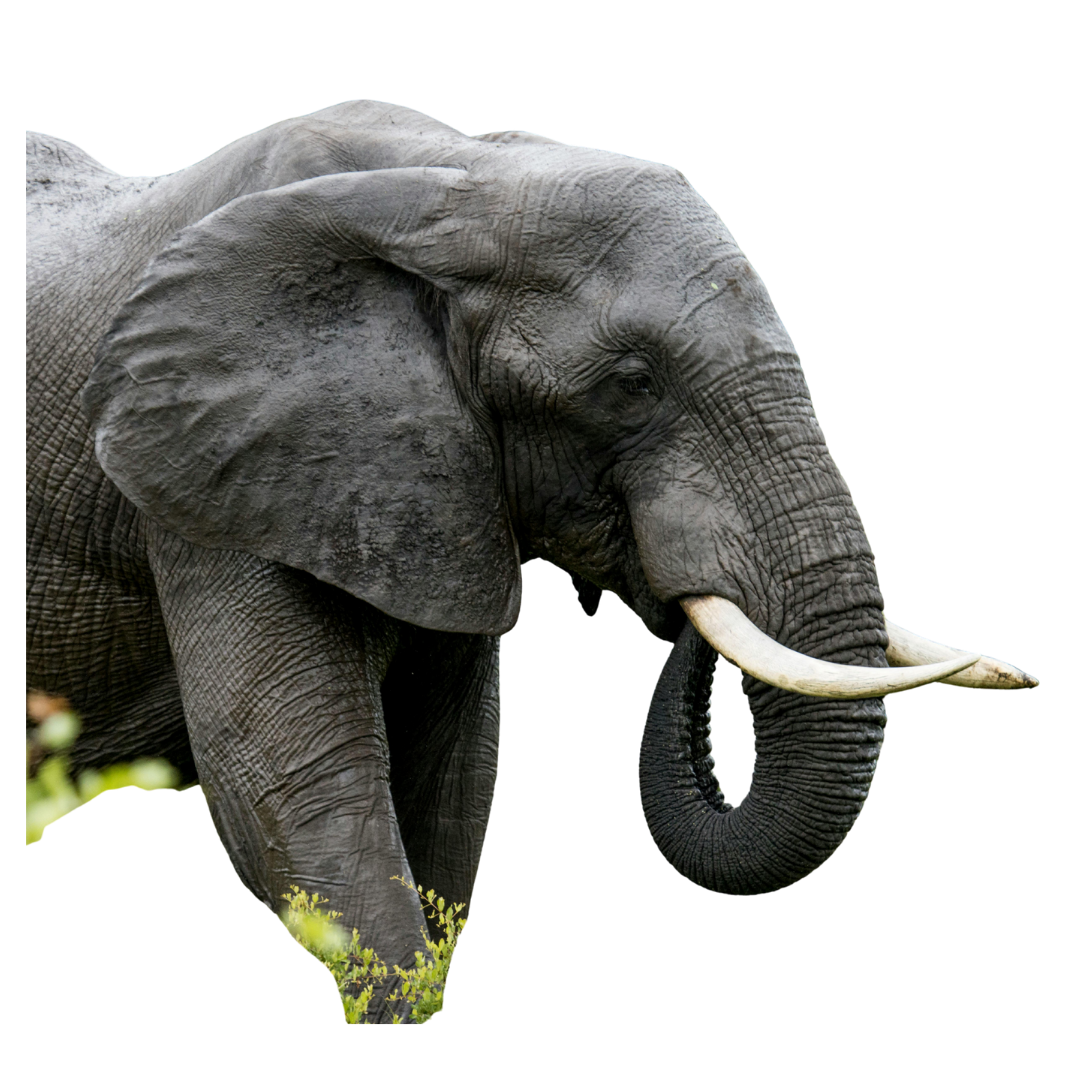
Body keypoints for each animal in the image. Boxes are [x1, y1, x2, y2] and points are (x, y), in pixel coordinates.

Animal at [26, 100, 1039, 1023]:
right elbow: (292, 783)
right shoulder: (204, 478)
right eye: (633, 384)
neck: (445, 185)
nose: (675, 585)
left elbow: (453, 785)